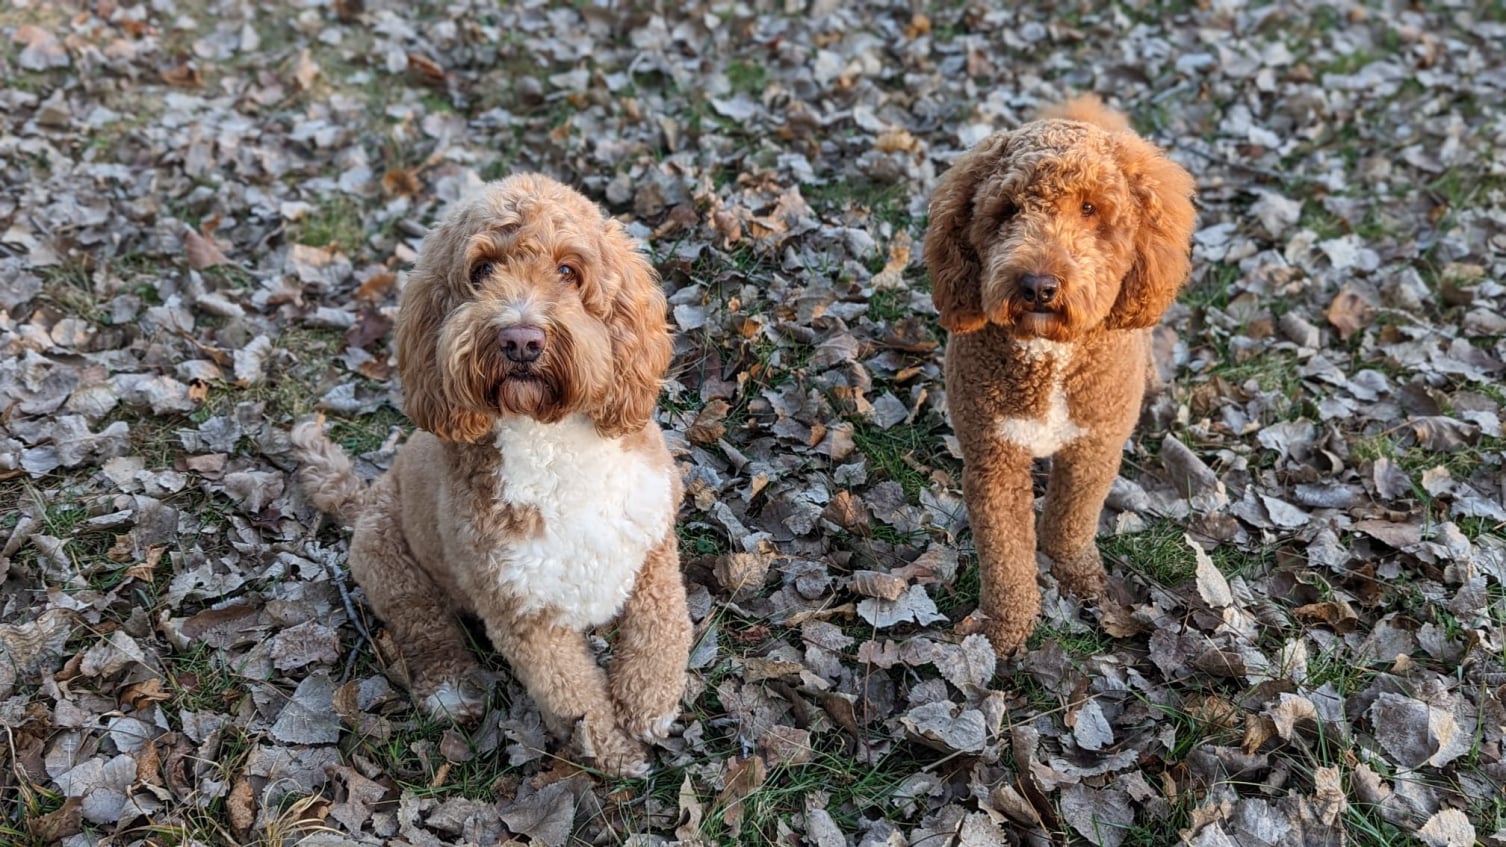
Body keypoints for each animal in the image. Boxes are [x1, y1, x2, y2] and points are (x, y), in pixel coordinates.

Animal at [290, 174, 689, 777]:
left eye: (568, 270)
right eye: (481, 271)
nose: (520, 339)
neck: (550, 439)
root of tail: (366, 497)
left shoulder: (652, 537)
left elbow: (663, 625)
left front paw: (647, 701)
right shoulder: (519, 611)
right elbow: (574, 696)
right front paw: (613, 751)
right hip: (388, 562)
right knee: (423, 626)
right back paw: (449, 688)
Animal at [921, 97, 1192, 654]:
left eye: (1090, 208)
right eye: (1007, 211)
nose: (1038, 286)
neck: (1049, 356)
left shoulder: (1093, 449)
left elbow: (1071, 521)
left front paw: (1080, 578)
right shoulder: (994, 458)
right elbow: (1005, 554)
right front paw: (1004, 631)